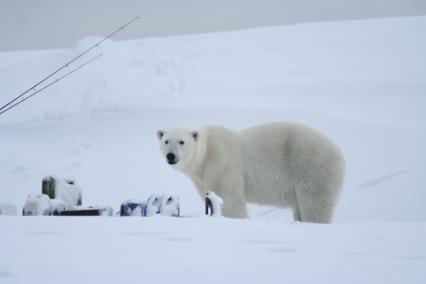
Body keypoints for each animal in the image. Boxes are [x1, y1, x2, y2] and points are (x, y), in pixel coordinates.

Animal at [158, 123, 344, 223]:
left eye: (182, 142)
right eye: (166, 141)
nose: (171, 156)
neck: (206, 153)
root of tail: (338, 153)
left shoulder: (222, 162)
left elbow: (230, 199)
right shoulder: (201, 177)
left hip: (311, 166)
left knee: (315, 202)